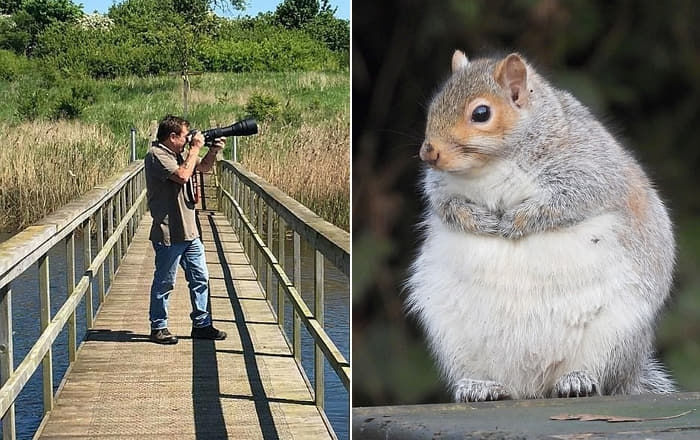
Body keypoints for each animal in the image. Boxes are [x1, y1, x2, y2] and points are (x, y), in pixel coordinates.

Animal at [408, 51, 676, 402]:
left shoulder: (589, 168)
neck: (491, 165)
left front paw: (515, 221)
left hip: (617, 333)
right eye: (435, 103)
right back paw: (480, 387)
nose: (429, 152)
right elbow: (446, 206)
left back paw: (576, 380)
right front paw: (479, 219)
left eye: (481, 113)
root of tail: (533, 385)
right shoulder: (440, 185)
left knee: (598, 374)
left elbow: (566, 201)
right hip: (453, 338)